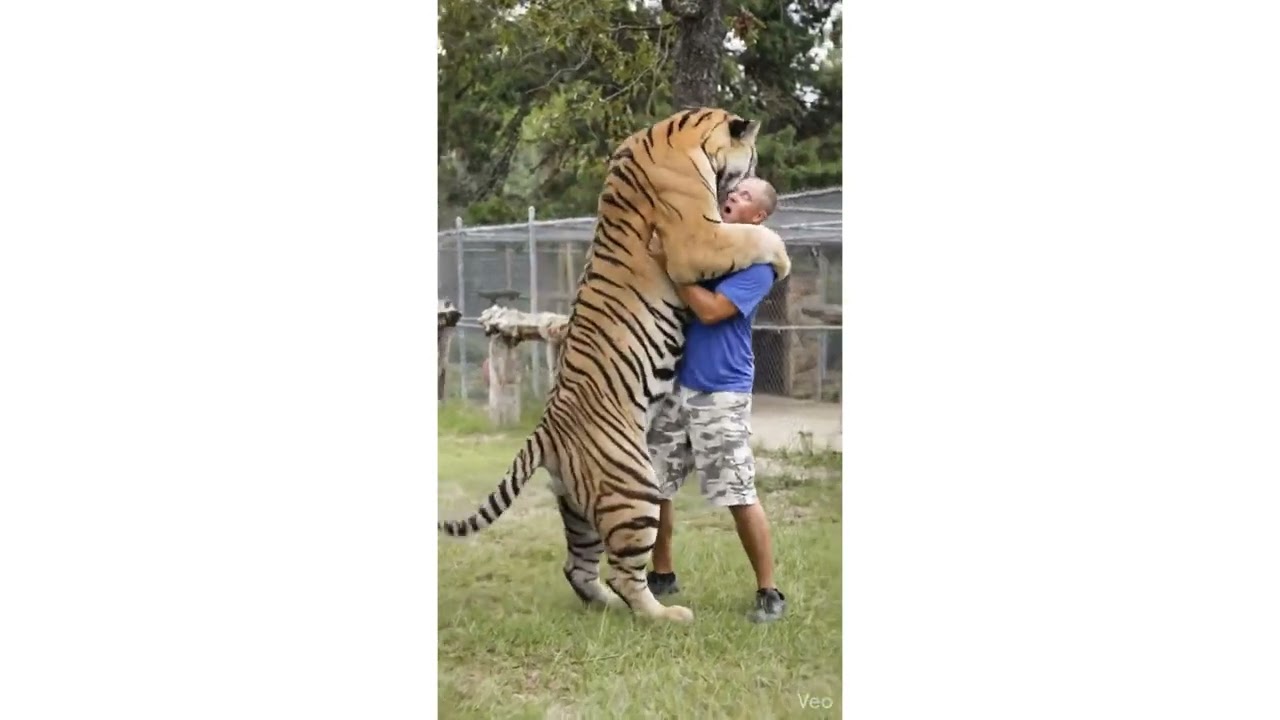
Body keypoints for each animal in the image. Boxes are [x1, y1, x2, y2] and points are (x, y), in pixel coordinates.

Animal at [438, 108, 792, 622]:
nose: (744, 184)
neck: (681, 135)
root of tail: (545, 431)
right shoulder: (699, 238)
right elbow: (753, 235)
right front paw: (781, 257)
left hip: (578, 507)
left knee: (580, 568)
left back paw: (606, 604)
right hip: (635, 489)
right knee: (626, 574)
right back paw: (666, 615)